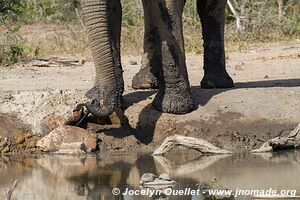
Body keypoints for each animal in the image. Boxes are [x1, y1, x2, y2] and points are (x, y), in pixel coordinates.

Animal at [80, 0, 234, 118]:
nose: (92, 102)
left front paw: (173, 107)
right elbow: (112, 8)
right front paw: (100, 96)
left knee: (210, 6)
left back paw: (215, 83)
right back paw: (145, 83)